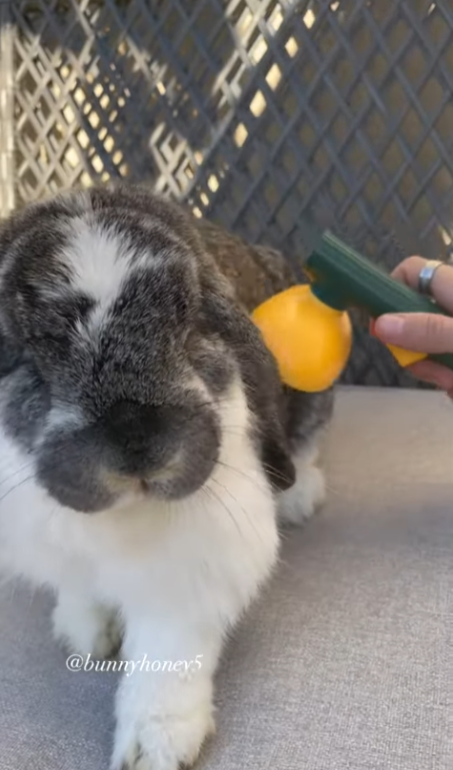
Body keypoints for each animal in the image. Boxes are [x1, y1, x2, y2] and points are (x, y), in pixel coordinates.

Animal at [0, 184, 333, 770]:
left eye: (191, 326)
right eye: (27, 359)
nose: (136, 444)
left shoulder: (192, 568)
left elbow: (166, 656)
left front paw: (152, 746)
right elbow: (80, 588)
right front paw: (85, 632)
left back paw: (301, 496)